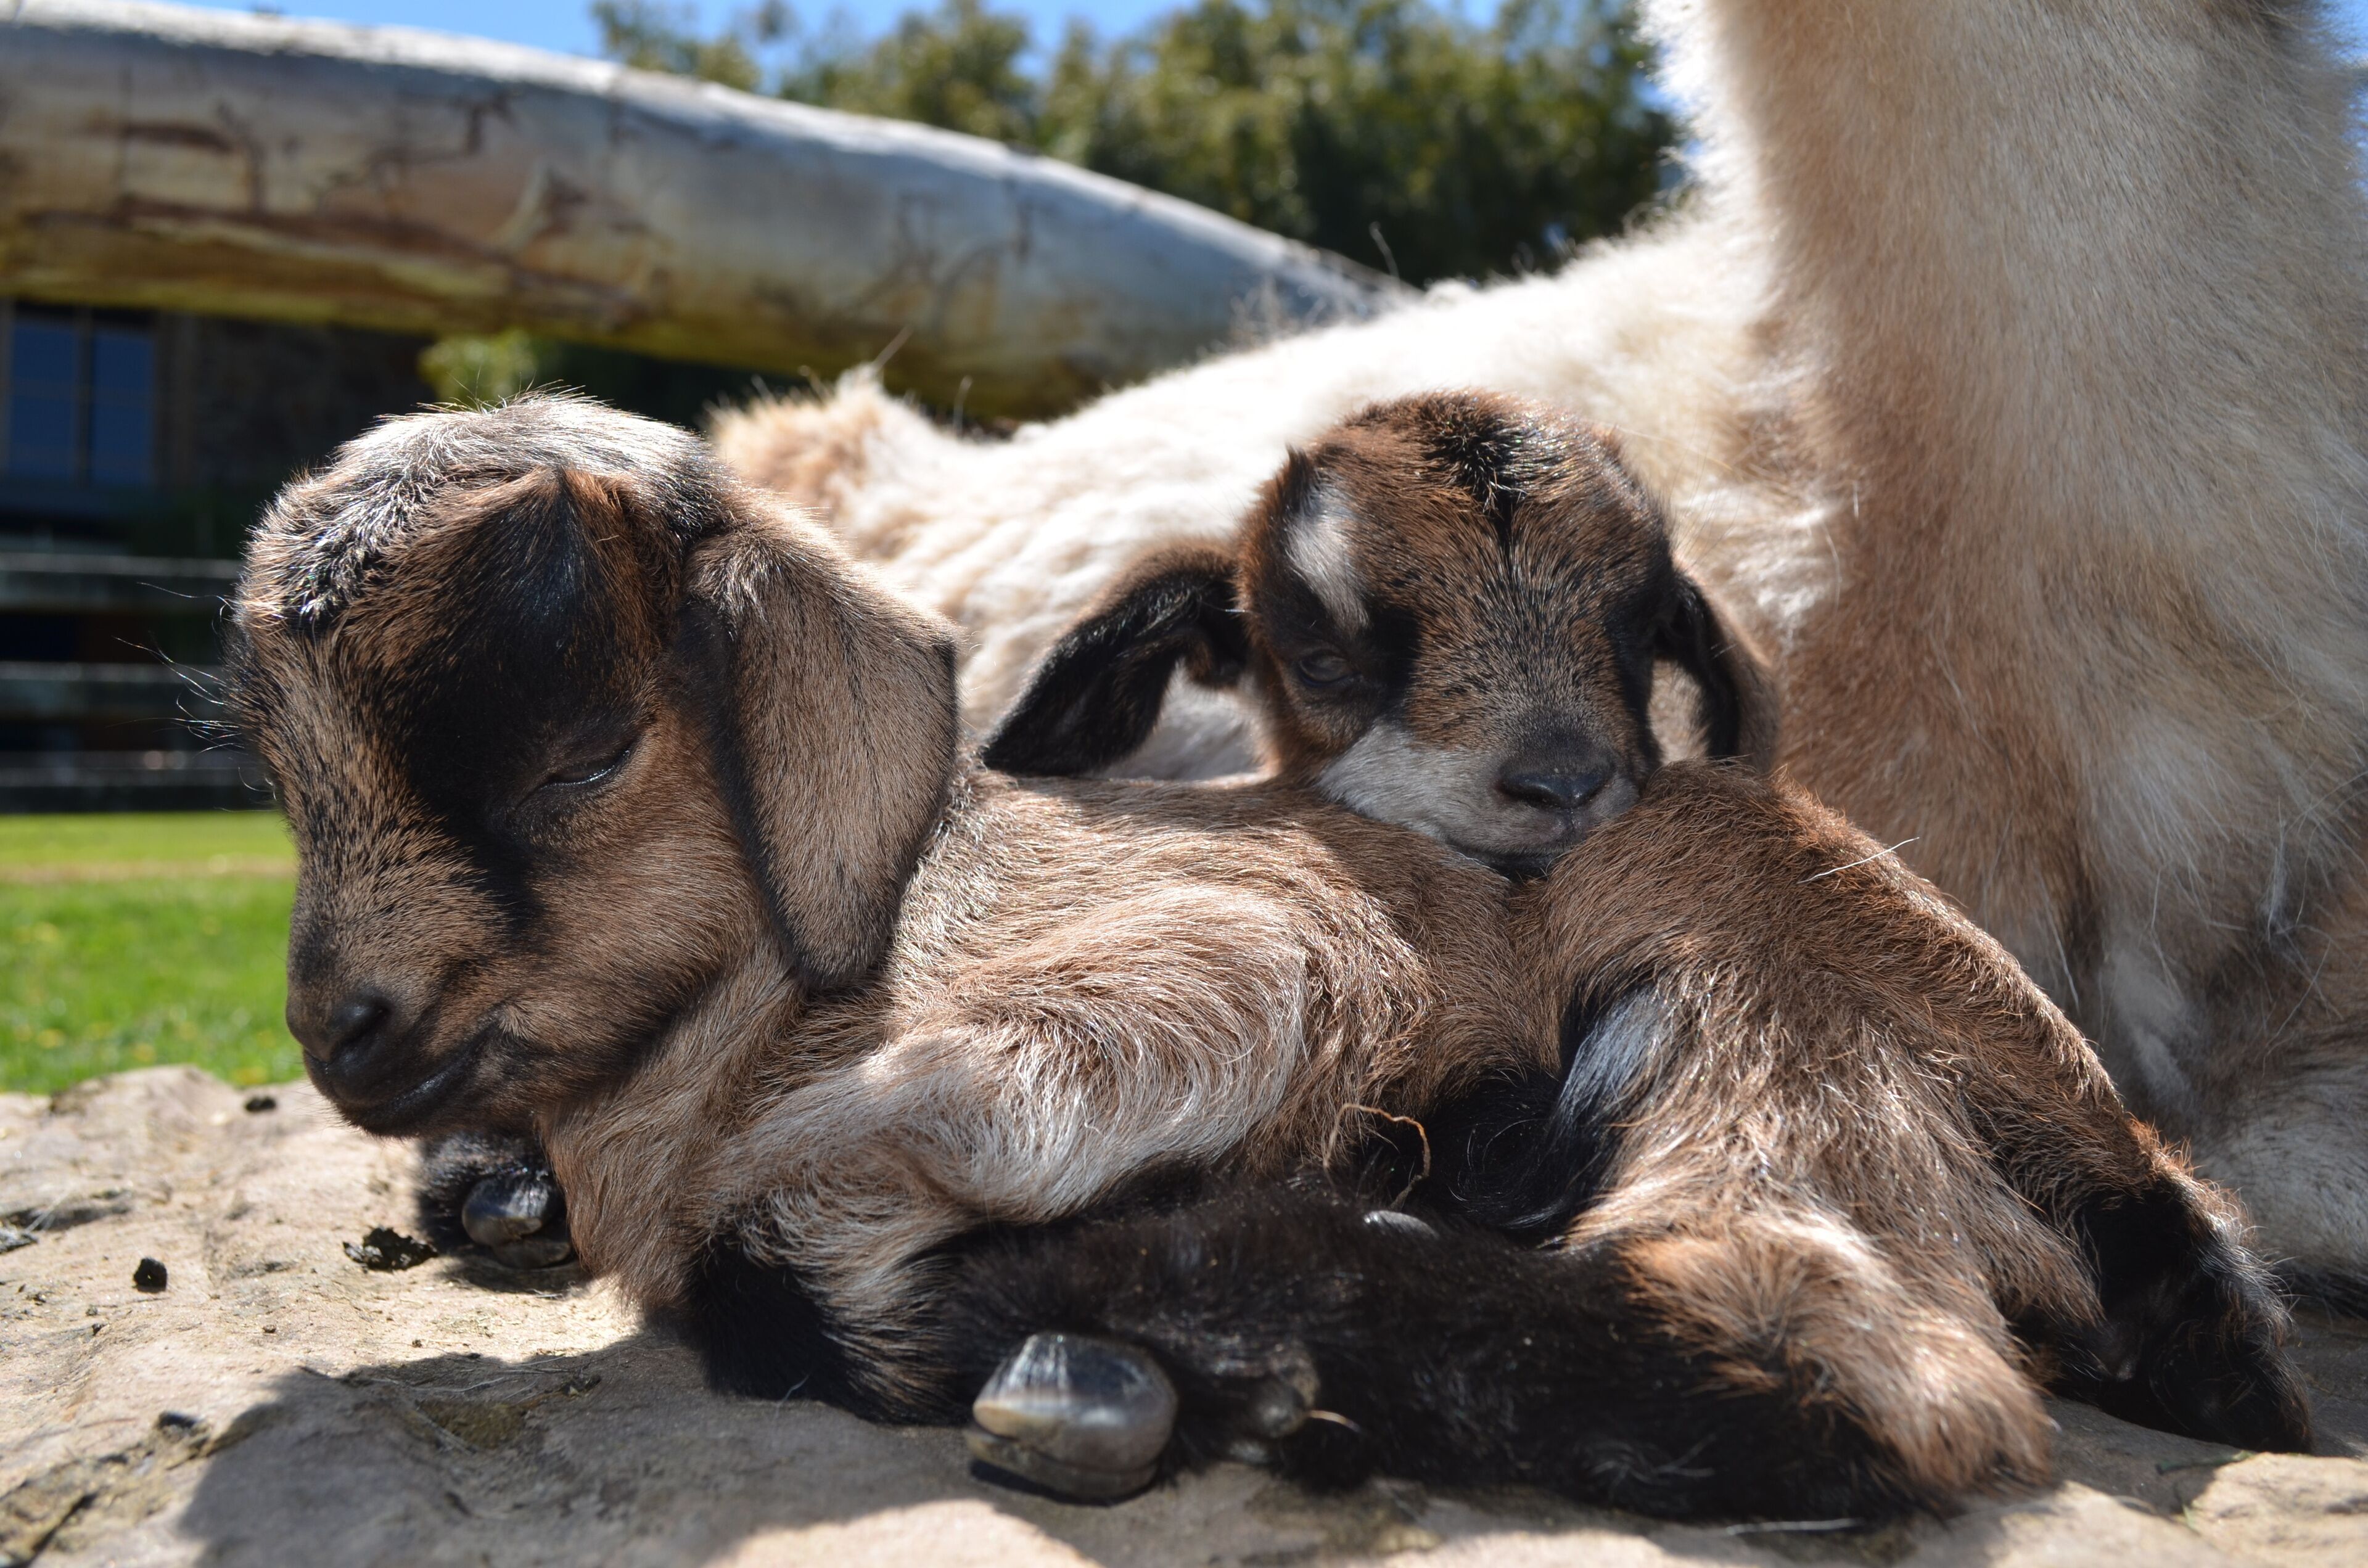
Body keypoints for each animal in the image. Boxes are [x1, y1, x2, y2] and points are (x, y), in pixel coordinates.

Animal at [232, 397, 2306, 1518]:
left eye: (582, 751)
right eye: (280, 768)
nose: (346, 1028)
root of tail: (2154, 1194)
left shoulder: (1210, 970)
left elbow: (875, 1186)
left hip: (1746, 988)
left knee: (1863, 1366)